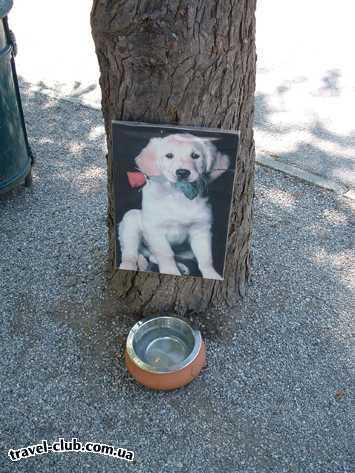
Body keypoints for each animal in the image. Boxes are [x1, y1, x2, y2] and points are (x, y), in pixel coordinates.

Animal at [119, 132, 231, 280]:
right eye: (169, 155)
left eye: (195, 156)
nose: (182, 172)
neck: (178, 195)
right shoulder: (155, 229)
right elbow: (166, 254)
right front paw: (170, 272)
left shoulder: (201, 230)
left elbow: (206, 258)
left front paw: (212, 275)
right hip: (130, 219)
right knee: (130, 253)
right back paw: (128, 266)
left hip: (187, 252)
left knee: (155, 257)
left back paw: (181, 268)